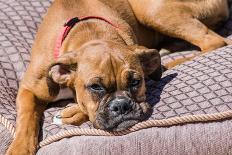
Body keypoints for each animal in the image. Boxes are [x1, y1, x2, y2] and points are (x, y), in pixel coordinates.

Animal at [6, 0, 231, 154]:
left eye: (135, 82)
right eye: (95, 87)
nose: (121, 105)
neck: (89, 34)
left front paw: (72, 112)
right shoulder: (29, 90)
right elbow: (27, 118)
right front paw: (19, 148)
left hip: (151, 9)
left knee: (214, 42)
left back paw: (168, 62)